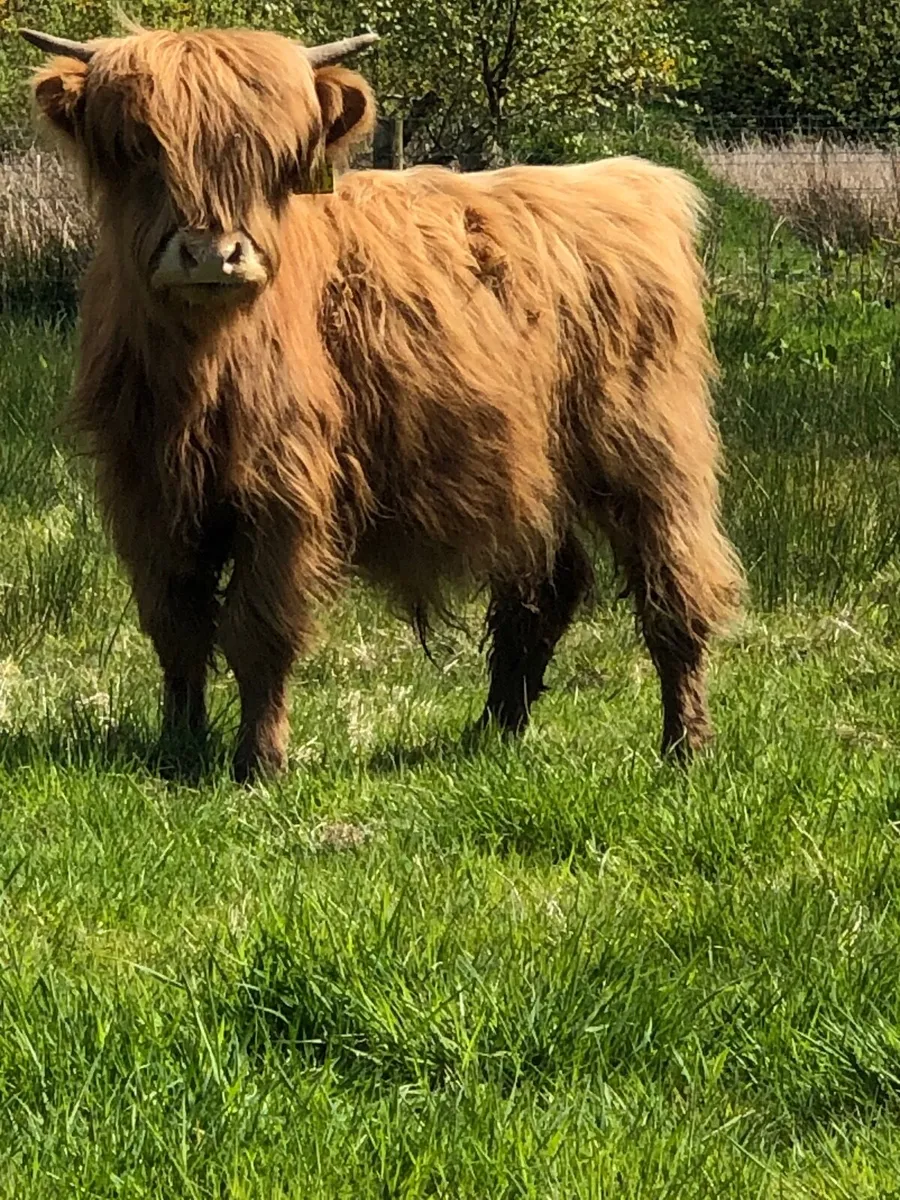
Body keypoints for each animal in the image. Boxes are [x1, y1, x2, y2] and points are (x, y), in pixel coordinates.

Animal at [21, 24, 744, 781]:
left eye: (272, 158)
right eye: (139, 150)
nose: (213, 254)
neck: (202, 368)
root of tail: (628, 180)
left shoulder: (286, 489)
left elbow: (257, 627)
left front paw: (258, 763)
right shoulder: (145, 491)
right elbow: (176, 625)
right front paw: (178, 748)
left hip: (649, 450)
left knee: (674, 590)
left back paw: (685, 745)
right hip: (532, 472)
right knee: (545, 589)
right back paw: (493, 731)